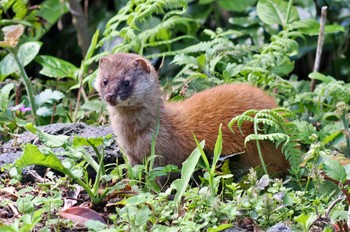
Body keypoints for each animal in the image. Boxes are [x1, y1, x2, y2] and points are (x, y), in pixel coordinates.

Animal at [94, 53, 288, 174]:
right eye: (105, 80)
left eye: (127, 82)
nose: (110, 95)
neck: (132, 136)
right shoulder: (131, 156)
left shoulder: (161, 156)